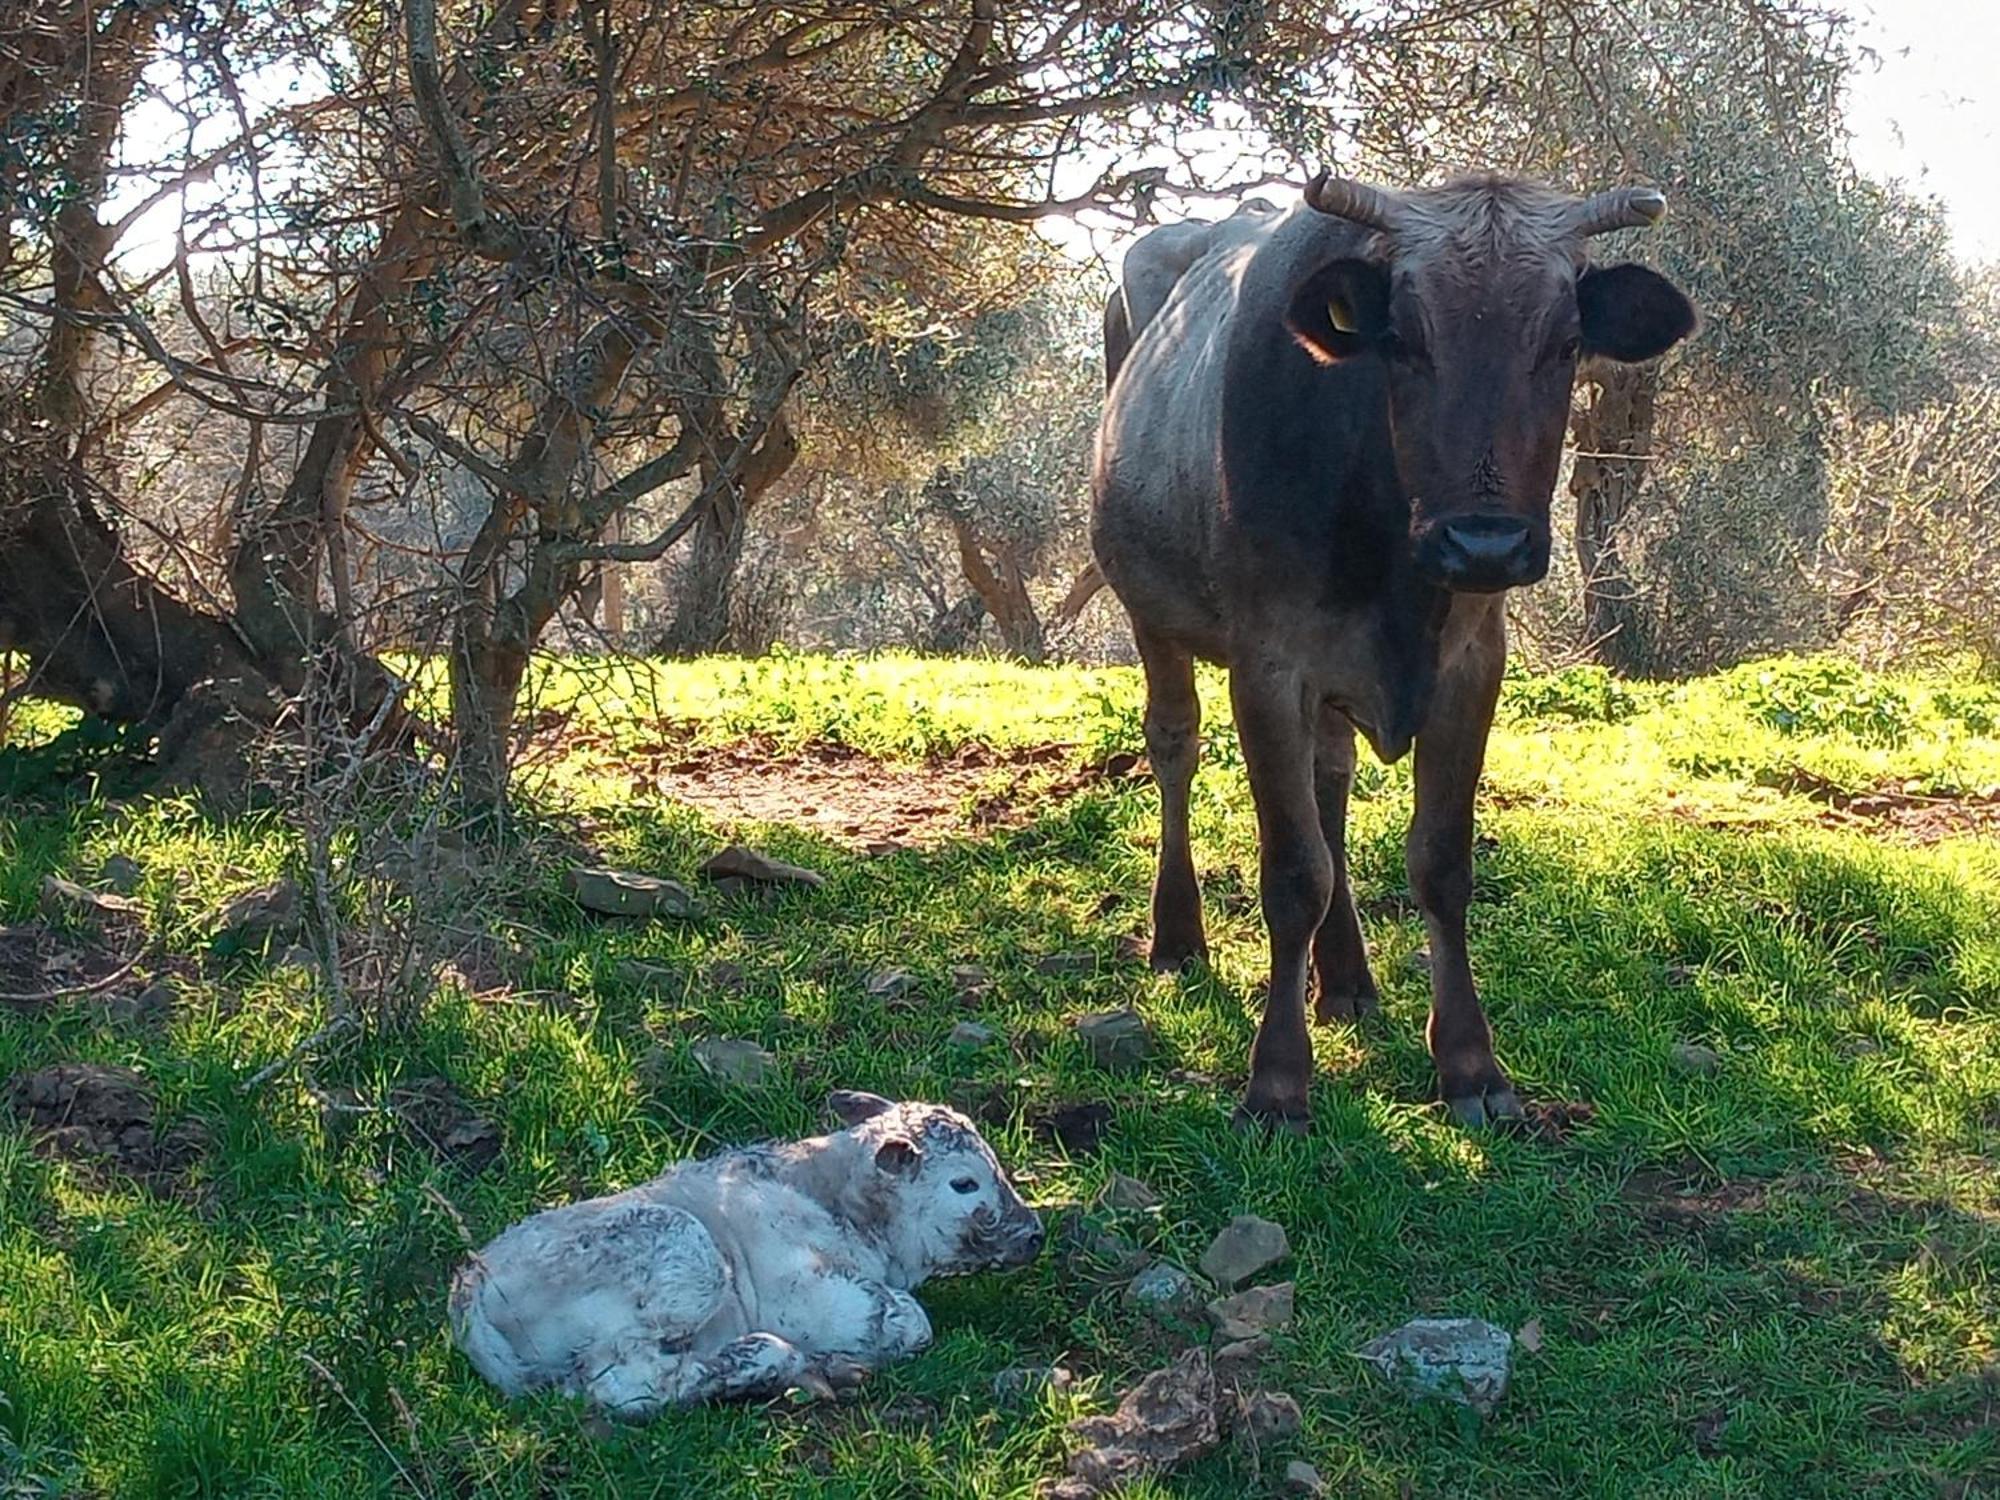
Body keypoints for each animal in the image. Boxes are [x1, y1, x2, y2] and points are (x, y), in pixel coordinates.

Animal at [452, 1096, 1048, 1424]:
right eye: (965, 1183)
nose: (1034, 1233)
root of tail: (470, 1290)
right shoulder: (799, 1295)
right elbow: (909, 1320)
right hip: (685, 1255)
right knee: (624, 1385)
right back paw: (773, 1362)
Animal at [1088, 173, 1696, 1128]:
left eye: (1566, 343)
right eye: (1403, 341)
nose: (1484, 543)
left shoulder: (1473, 664)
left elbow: (1439, 863)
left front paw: (1472, 1065)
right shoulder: (1268, 666)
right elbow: (1293, 871)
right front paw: (1276, 1082)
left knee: (1330, 783)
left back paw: (1345, 980)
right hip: (1149, 606)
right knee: (1175, 746)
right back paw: (1179, 935)